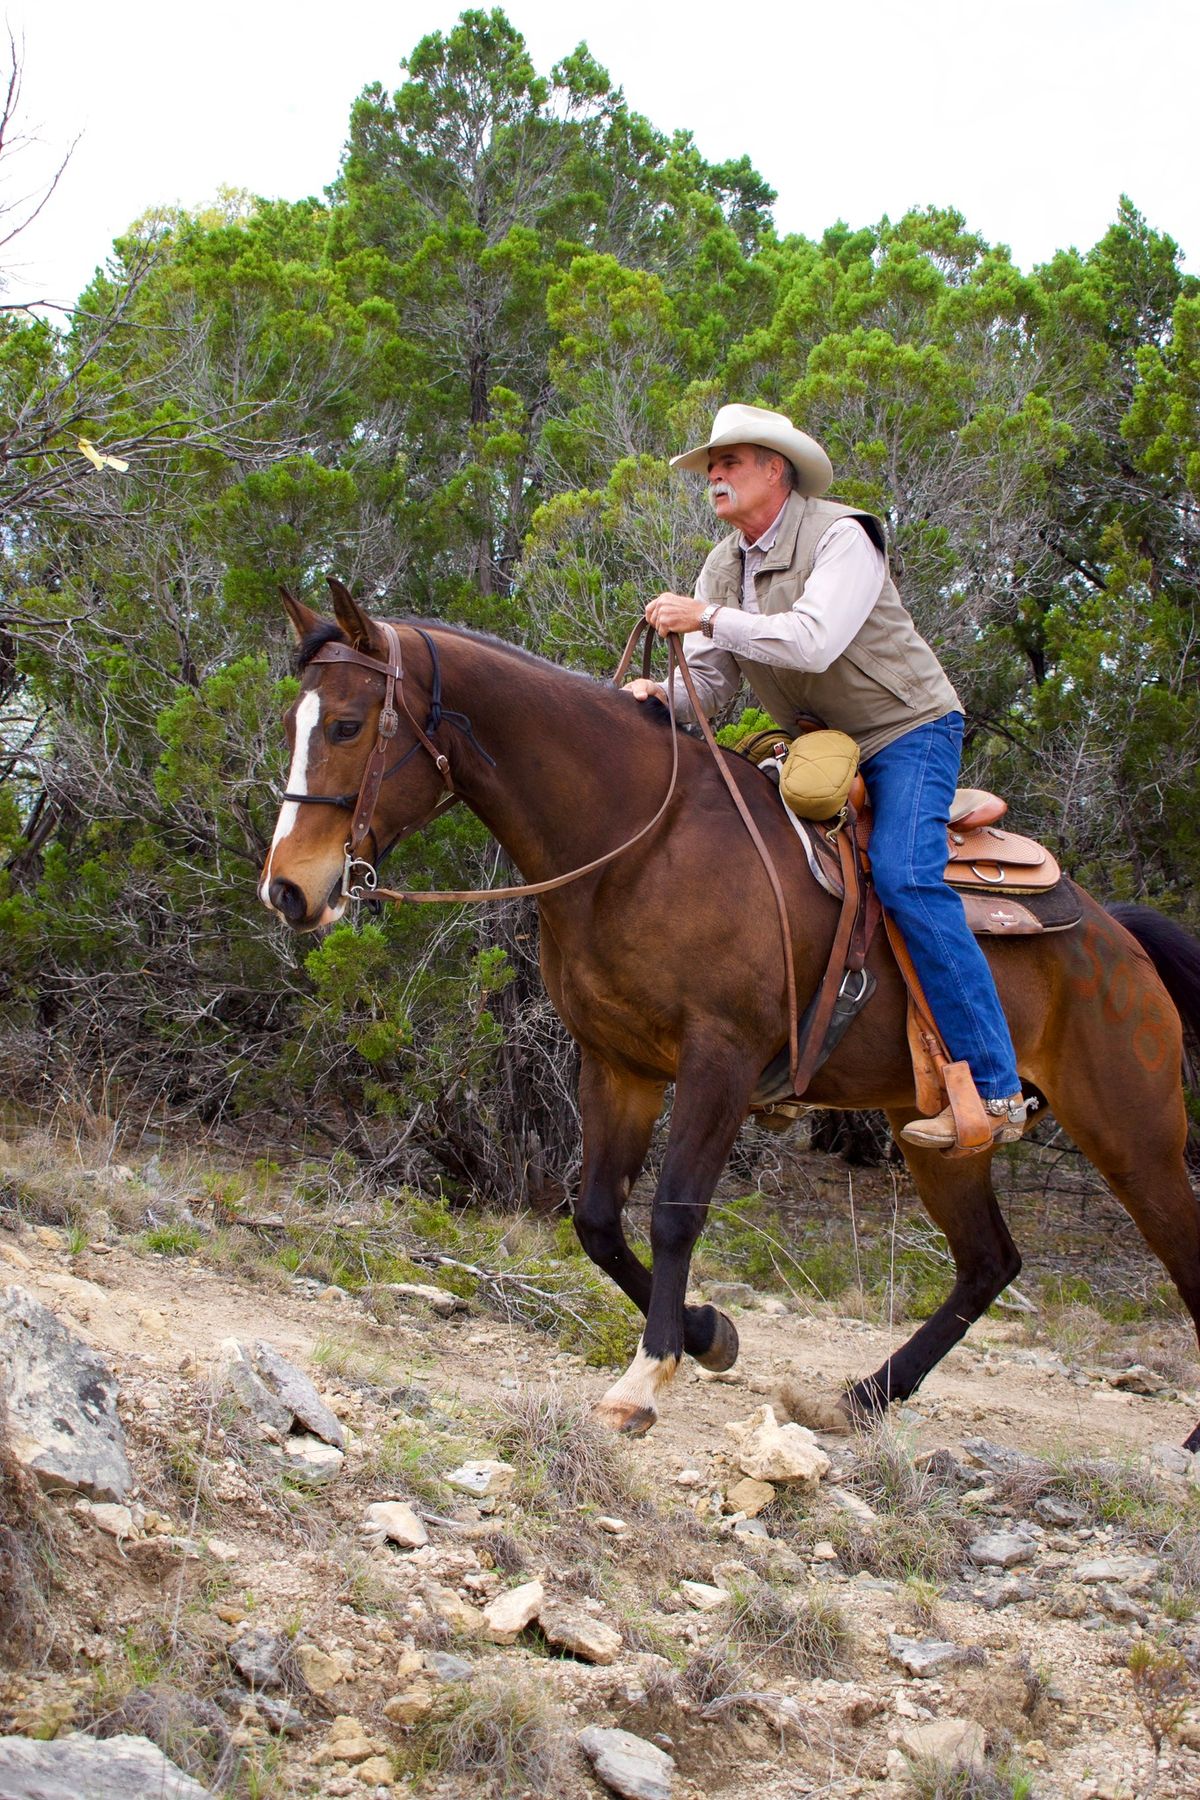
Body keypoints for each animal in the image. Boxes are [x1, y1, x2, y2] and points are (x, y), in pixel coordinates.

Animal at [259, 590, 1200, 1447]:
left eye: (347, 725)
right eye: (294, 722)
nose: (289, 890)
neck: (640, 841)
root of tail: (1119, 939)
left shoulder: (721, 1060)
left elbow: (675, 1211)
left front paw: (645, 1380)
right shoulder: (617, 1065)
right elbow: (597, 1219)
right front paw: (711, 1334)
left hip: (1132, 1135)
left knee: (1173, 1246)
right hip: (932, 1133)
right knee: (988, 1262)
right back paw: (863, 1398)